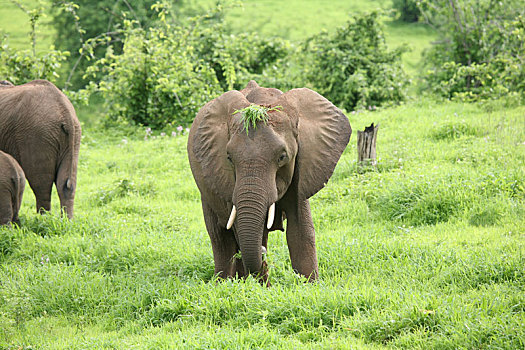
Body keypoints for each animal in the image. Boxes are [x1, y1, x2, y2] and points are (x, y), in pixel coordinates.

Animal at [0, 79, 81, 219]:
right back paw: (66, 220)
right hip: (73, 136)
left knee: (41, 184)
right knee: (65, 184)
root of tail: (66, 113)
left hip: (36, 135)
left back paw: (42, 219)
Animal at [186, 80, 350, 284]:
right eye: (229, 158)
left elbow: (300, 230)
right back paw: (223, 283)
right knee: (220, 237)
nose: (263, 252)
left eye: (282, 157)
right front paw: (262, 288)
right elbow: (242, 228)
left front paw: (309, 286)